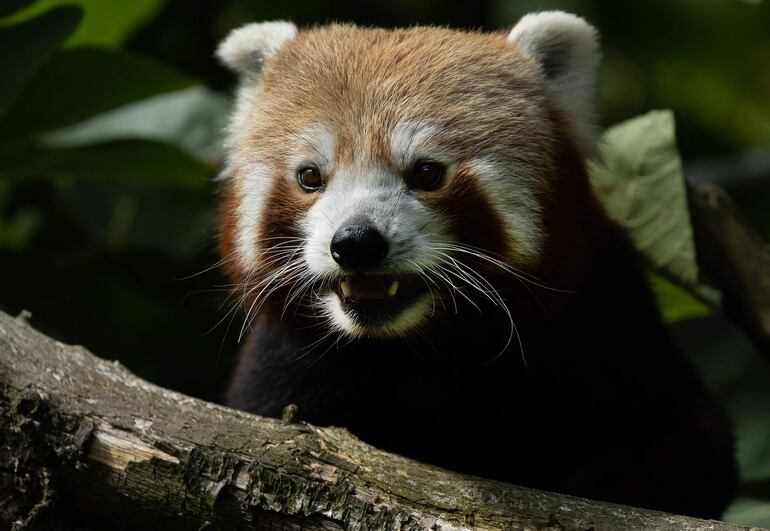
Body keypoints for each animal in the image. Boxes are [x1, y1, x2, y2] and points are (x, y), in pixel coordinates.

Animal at [213, 13, 736, 520]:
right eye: (310, 177)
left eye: (426, 173)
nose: (356, 242)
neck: (419, 349)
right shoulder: (288, 364)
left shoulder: (599, 317)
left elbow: (694, 445)